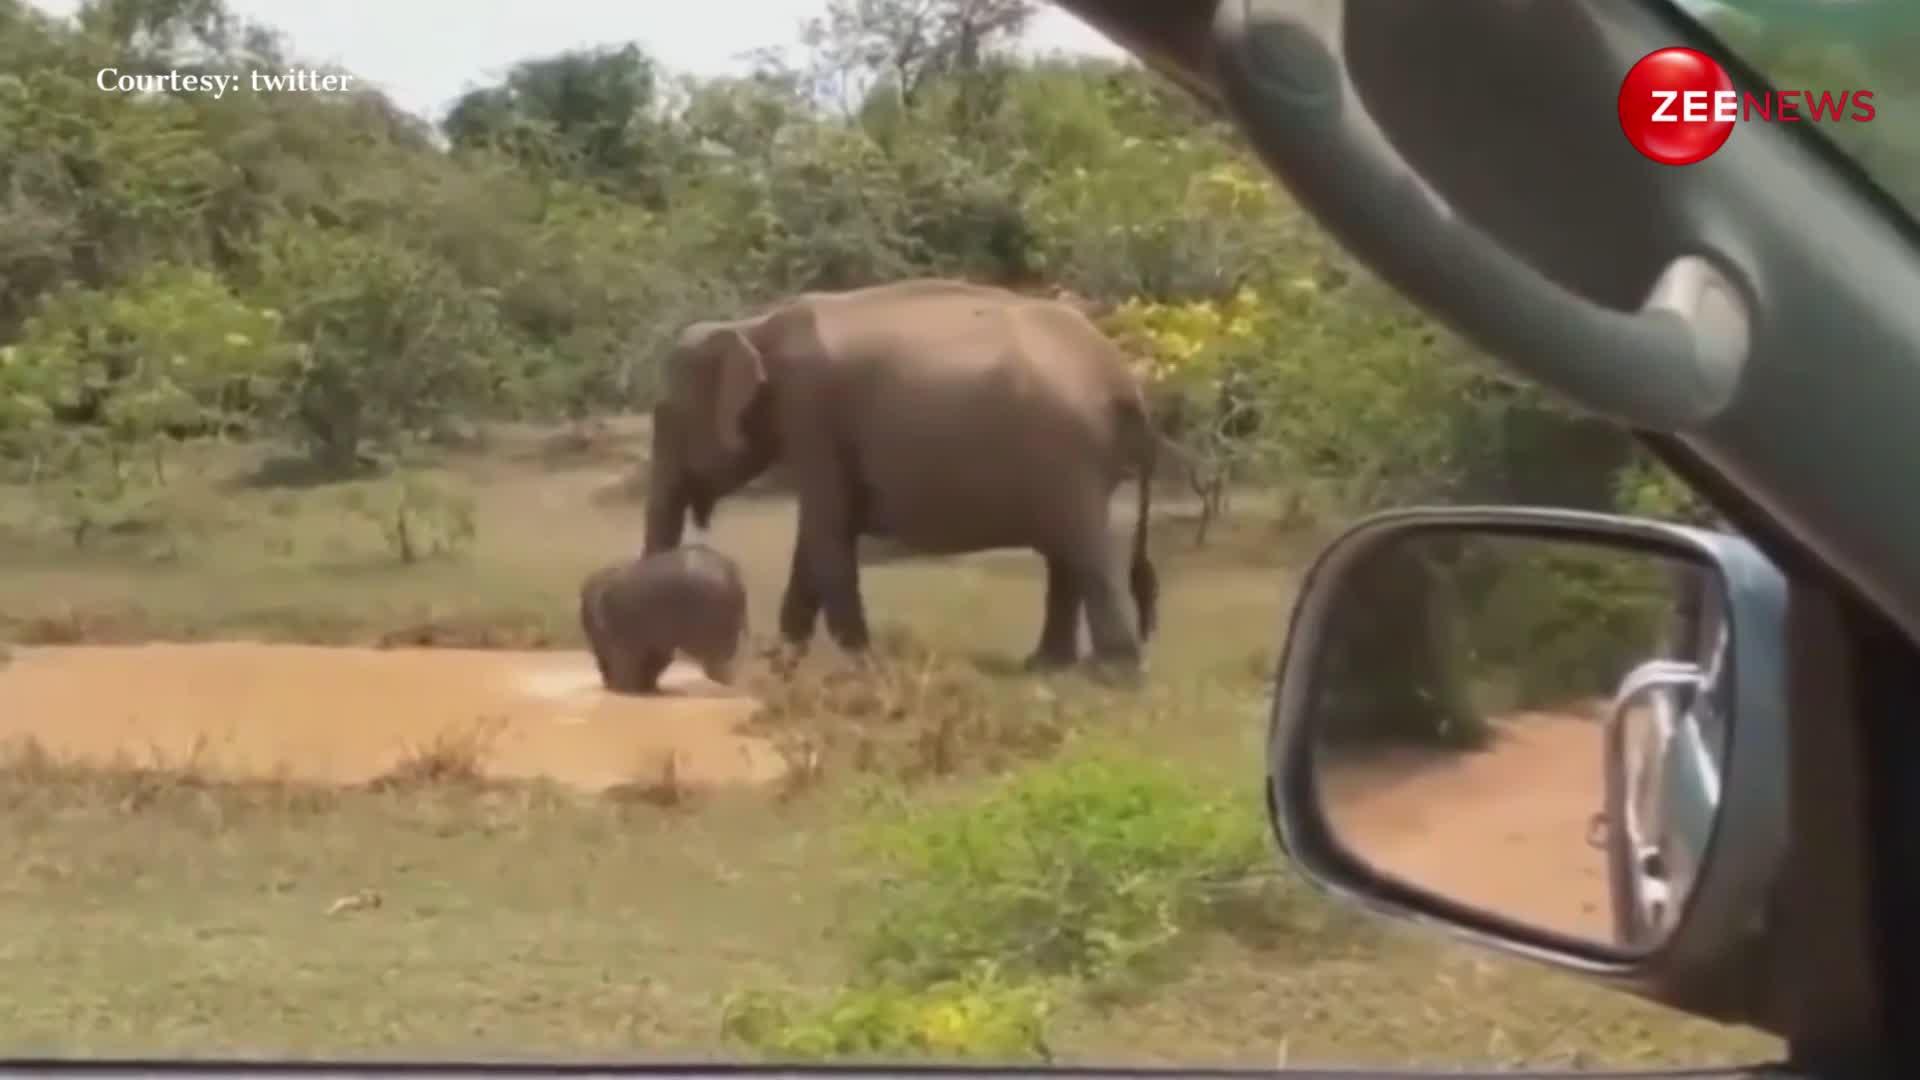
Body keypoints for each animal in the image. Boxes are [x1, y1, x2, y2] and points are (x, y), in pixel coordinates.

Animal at [641, 272, 1152, 668]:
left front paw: (860, 664)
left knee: (1086, 549)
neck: (754, 324)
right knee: (1066, 554)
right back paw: (1047, 666)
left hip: (1070, 458)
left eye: (664, 415)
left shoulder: (813, 415)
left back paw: (1113, 673)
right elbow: (817, 539)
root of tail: (1122, 378)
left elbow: (826, 533)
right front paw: (784, 661)